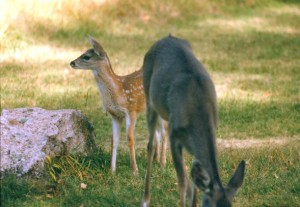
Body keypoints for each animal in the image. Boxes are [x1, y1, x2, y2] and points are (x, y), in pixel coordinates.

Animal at [71, 36, 169, 175]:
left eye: (86, 57)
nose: (71, 63)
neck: (117, 90)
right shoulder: (115, 115)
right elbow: (114, 141)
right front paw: (112, 170)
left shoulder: (131, 111)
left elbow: (130, 139)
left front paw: (135, 170)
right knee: (157, 131)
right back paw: (155, 160)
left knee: (165, 131)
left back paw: (162, 163)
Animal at [142, 34, 245, 206]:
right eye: (211, 205)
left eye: (232, 205)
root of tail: (166, 37)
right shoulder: (174, 135)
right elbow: (182, 182)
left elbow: (194, 184)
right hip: (149, 97)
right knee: (150, 145)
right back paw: (145, 199)